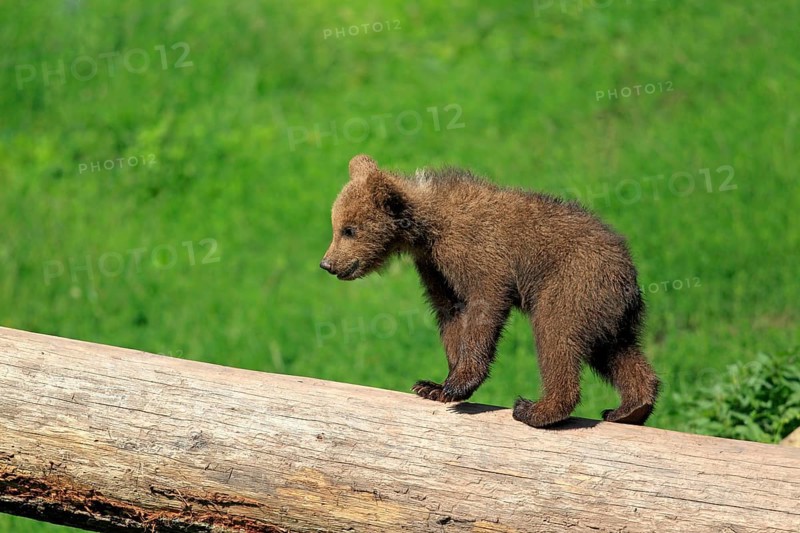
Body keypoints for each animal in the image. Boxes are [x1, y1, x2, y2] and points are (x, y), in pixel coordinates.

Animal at [320, 155, 660, 428]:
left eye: (349, 230)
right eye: (336, 226)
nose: (327, 263)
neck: (426, 228)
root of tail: (629, 267)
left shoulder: (475, 252)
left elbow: (484, 303)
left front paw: (457, 384)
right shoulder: (434, 266)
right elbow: (450, 312)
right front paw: (435, 386)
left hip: (571, 282)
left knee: (556, 336)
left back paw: (536, 409)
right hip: (602, 304)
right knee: (616, 349)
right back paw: (630, 408)